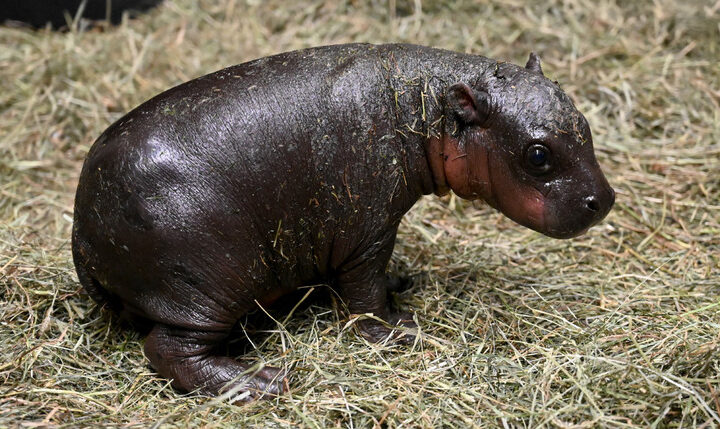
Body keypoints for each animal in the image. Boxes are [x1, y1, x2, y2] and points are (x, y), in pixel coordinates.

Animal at [71, 43, 612, 398]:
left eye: (585, 123)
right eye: (538, 155)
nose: (605, 199)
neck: (426, 105)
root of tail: (79, 226)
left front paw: (401, 285)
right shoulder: (368, 232)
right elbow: (365, 292)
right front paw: (400, 331)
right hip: (209, 282)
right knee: (168, 349)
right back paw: (262, 383)